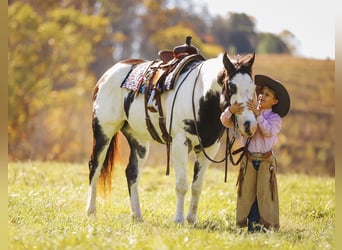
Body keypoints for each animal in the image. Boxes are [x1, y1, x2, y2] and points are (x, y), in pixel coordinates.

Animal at [85, 51, 256, 225]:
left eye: (253, 87)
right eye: (232, 86)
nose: (249, 125)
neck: (201, 98)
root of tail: (106, 76)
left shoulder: (209, 147)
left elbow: (197, 186)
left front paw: (192, 219)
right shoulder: (180, 143)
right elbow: (182, 184)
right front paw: (179, 219)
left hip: (139, 140)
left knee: (132, 172)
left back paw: (137, 215)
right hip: (104, 131)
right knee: (95, 167)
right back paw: (91, 211)